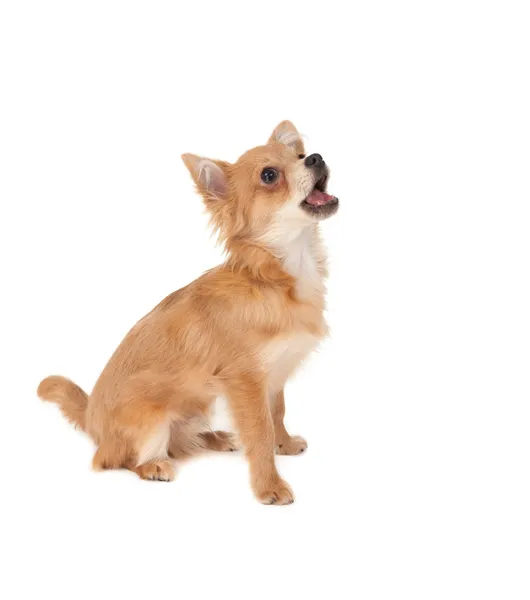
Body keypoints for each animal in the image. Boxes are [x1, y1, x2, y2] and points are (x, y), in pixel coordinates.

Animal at [40, 120, 338, 502]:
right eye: (270, 175)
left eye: (298, 155)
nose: (315, 157)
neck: (278, 275)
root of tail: (92, 420)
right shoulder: (246, 382)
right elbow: (260, 432)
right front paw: (269, 485)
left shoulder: (272, 376)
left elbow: (277, 413)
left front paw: (283, 444)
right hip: (151, 418)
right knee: (116, 459)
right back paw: (154, 466)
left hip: (200, 402)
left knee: (181, 440)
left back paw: (217, 437)